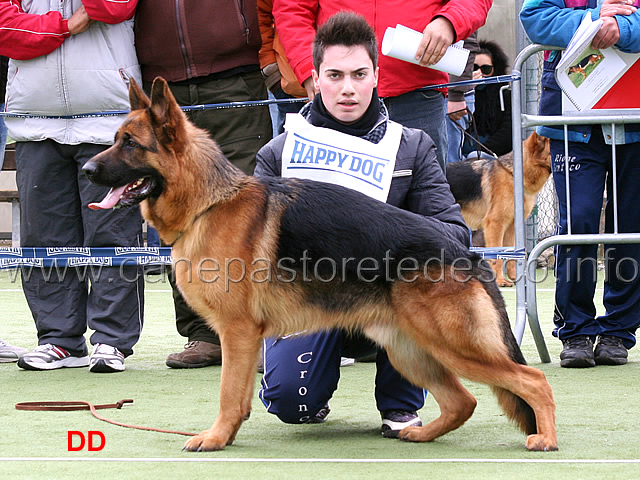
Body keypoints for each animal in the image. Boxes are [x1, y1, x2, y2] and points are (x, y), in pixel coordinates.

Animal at [444, 132, 552, 284]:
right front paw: (500, 280)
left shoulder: (512, 226)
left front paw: (514, 277)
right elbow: (497, 255)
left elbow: (511, 255)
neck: (513, 174)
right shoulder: (495, 224)